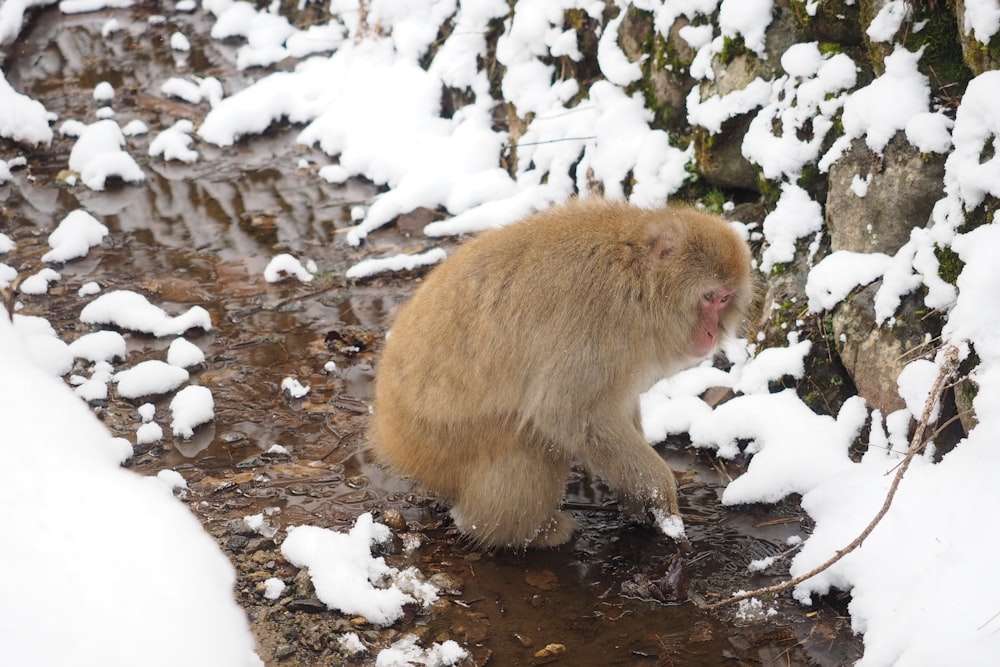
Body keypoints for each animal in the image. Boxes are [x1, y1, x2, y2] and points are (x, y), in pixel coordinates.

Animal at [372, 197, 752, 548]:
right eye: (709, 297)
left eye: (725, 300)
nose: (711, 334)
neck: (636, 276)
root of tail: (387, 428)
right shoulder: (602, 316)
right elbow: (569, 414)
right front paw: (658, 489)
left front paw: (635, 497)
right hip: (439, 438)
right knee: (529, 436)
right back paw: (521, 534)